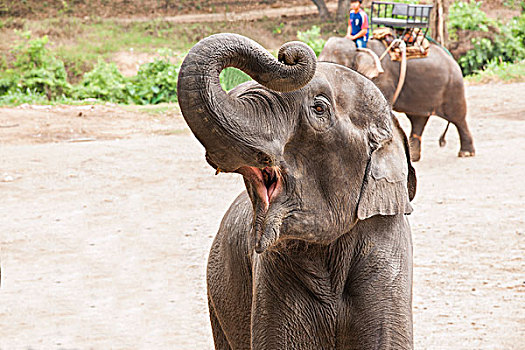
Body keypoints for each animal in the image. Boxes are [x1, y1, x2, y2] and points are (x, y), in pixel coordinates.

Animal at [318, 36, 476, 161]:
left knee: (457, 117)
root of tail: (452, 58)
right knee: (418, 119)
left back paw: (466, 153)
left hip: (453, 86)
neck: (357, 47)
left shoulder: (382, 78)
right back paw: (413, 158)